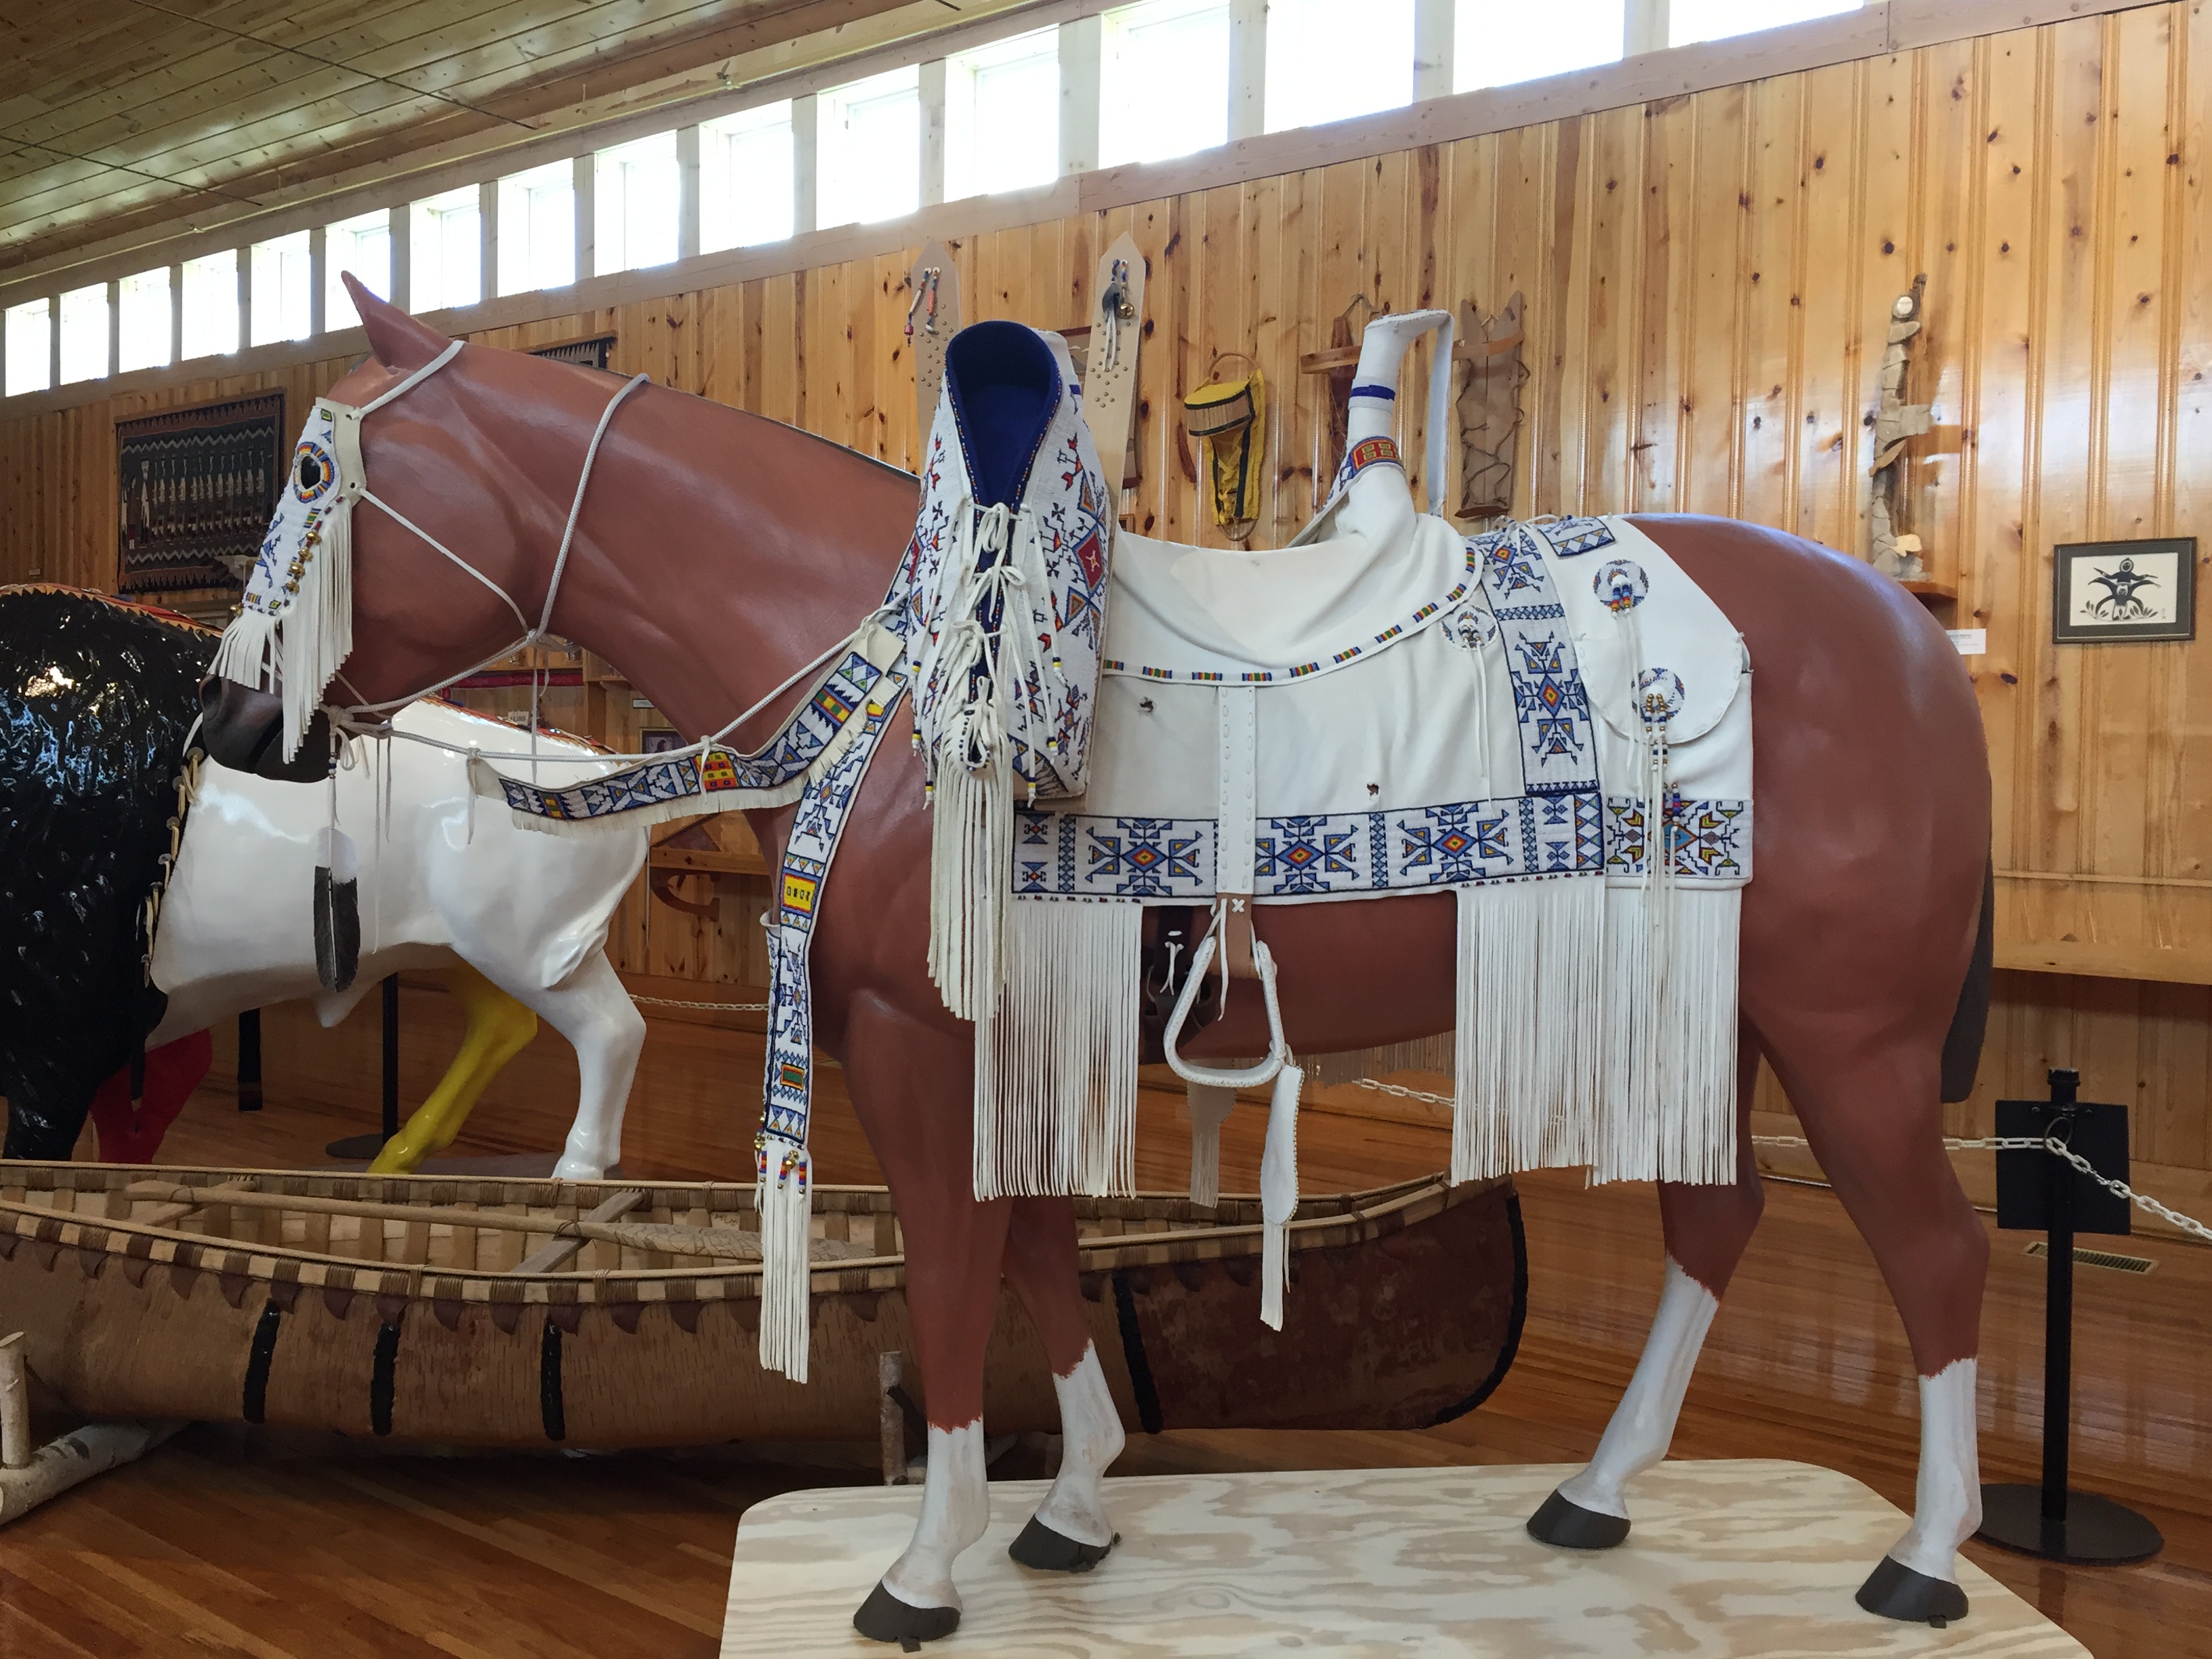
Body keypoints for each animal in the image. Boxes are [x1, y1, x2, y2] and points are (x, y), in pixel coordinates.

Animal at [198, 282, 1994, 1641]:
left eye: (316, 469)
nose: (232, 721)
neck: (910, 669)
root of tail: (1907, 637)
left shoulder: (919, 1042)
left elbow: (953, 1276)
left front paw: (926, 1567)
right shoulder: (1004, 1046)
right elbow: (1043, 1258)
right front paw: (1066, 1505)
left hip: (1853, 1040)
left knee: (1936, 1253)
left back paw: (1919, 1558)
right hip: (1728, 1025)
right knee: (1722, 1222)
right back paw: (1599, 1489)